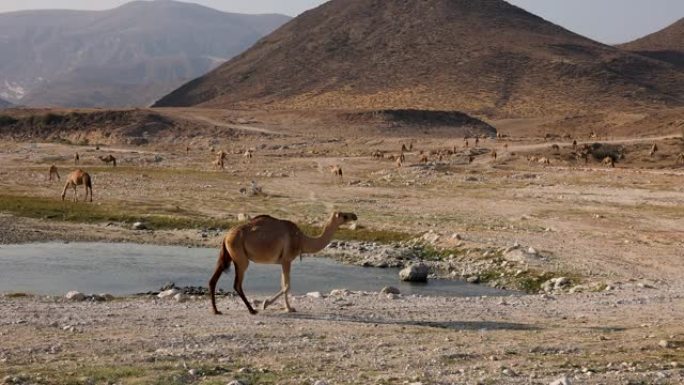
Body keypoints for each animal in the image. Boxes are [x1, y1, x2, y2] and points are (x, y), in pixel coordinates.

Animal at [207, 212, 358, 314]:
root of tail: (226, 236)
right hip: (241, 258)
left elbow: (283, 284)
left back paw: (216, 311)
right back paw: (252, 310)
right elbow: (287, 285)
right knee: (237, 284)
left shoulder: (282, 262)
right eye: (344, 216)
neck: (302, 239)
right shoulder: (287, 260)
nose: (355, 215)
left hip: (228, 255)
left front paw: (288, 308)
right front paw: (266, 304)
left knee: (213, 279)